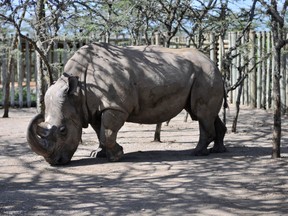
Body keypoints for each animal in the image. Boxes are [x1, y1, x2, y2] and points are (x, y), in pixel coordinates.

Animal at [26, 42, 227, 165]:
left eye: (63, 130)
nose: (56, 162)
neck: (78, 91)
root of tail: (213, 63)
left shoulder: (115, 106)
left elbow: (107, 132)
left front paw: (116, 156)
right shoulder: (91, 108)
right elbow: (99, 131)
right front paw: (98, 154)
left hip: (205, 74)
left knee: (201, 114)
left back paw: (197, 153)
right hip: (202, 74)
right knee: (206, 114)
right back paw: (218, 151)